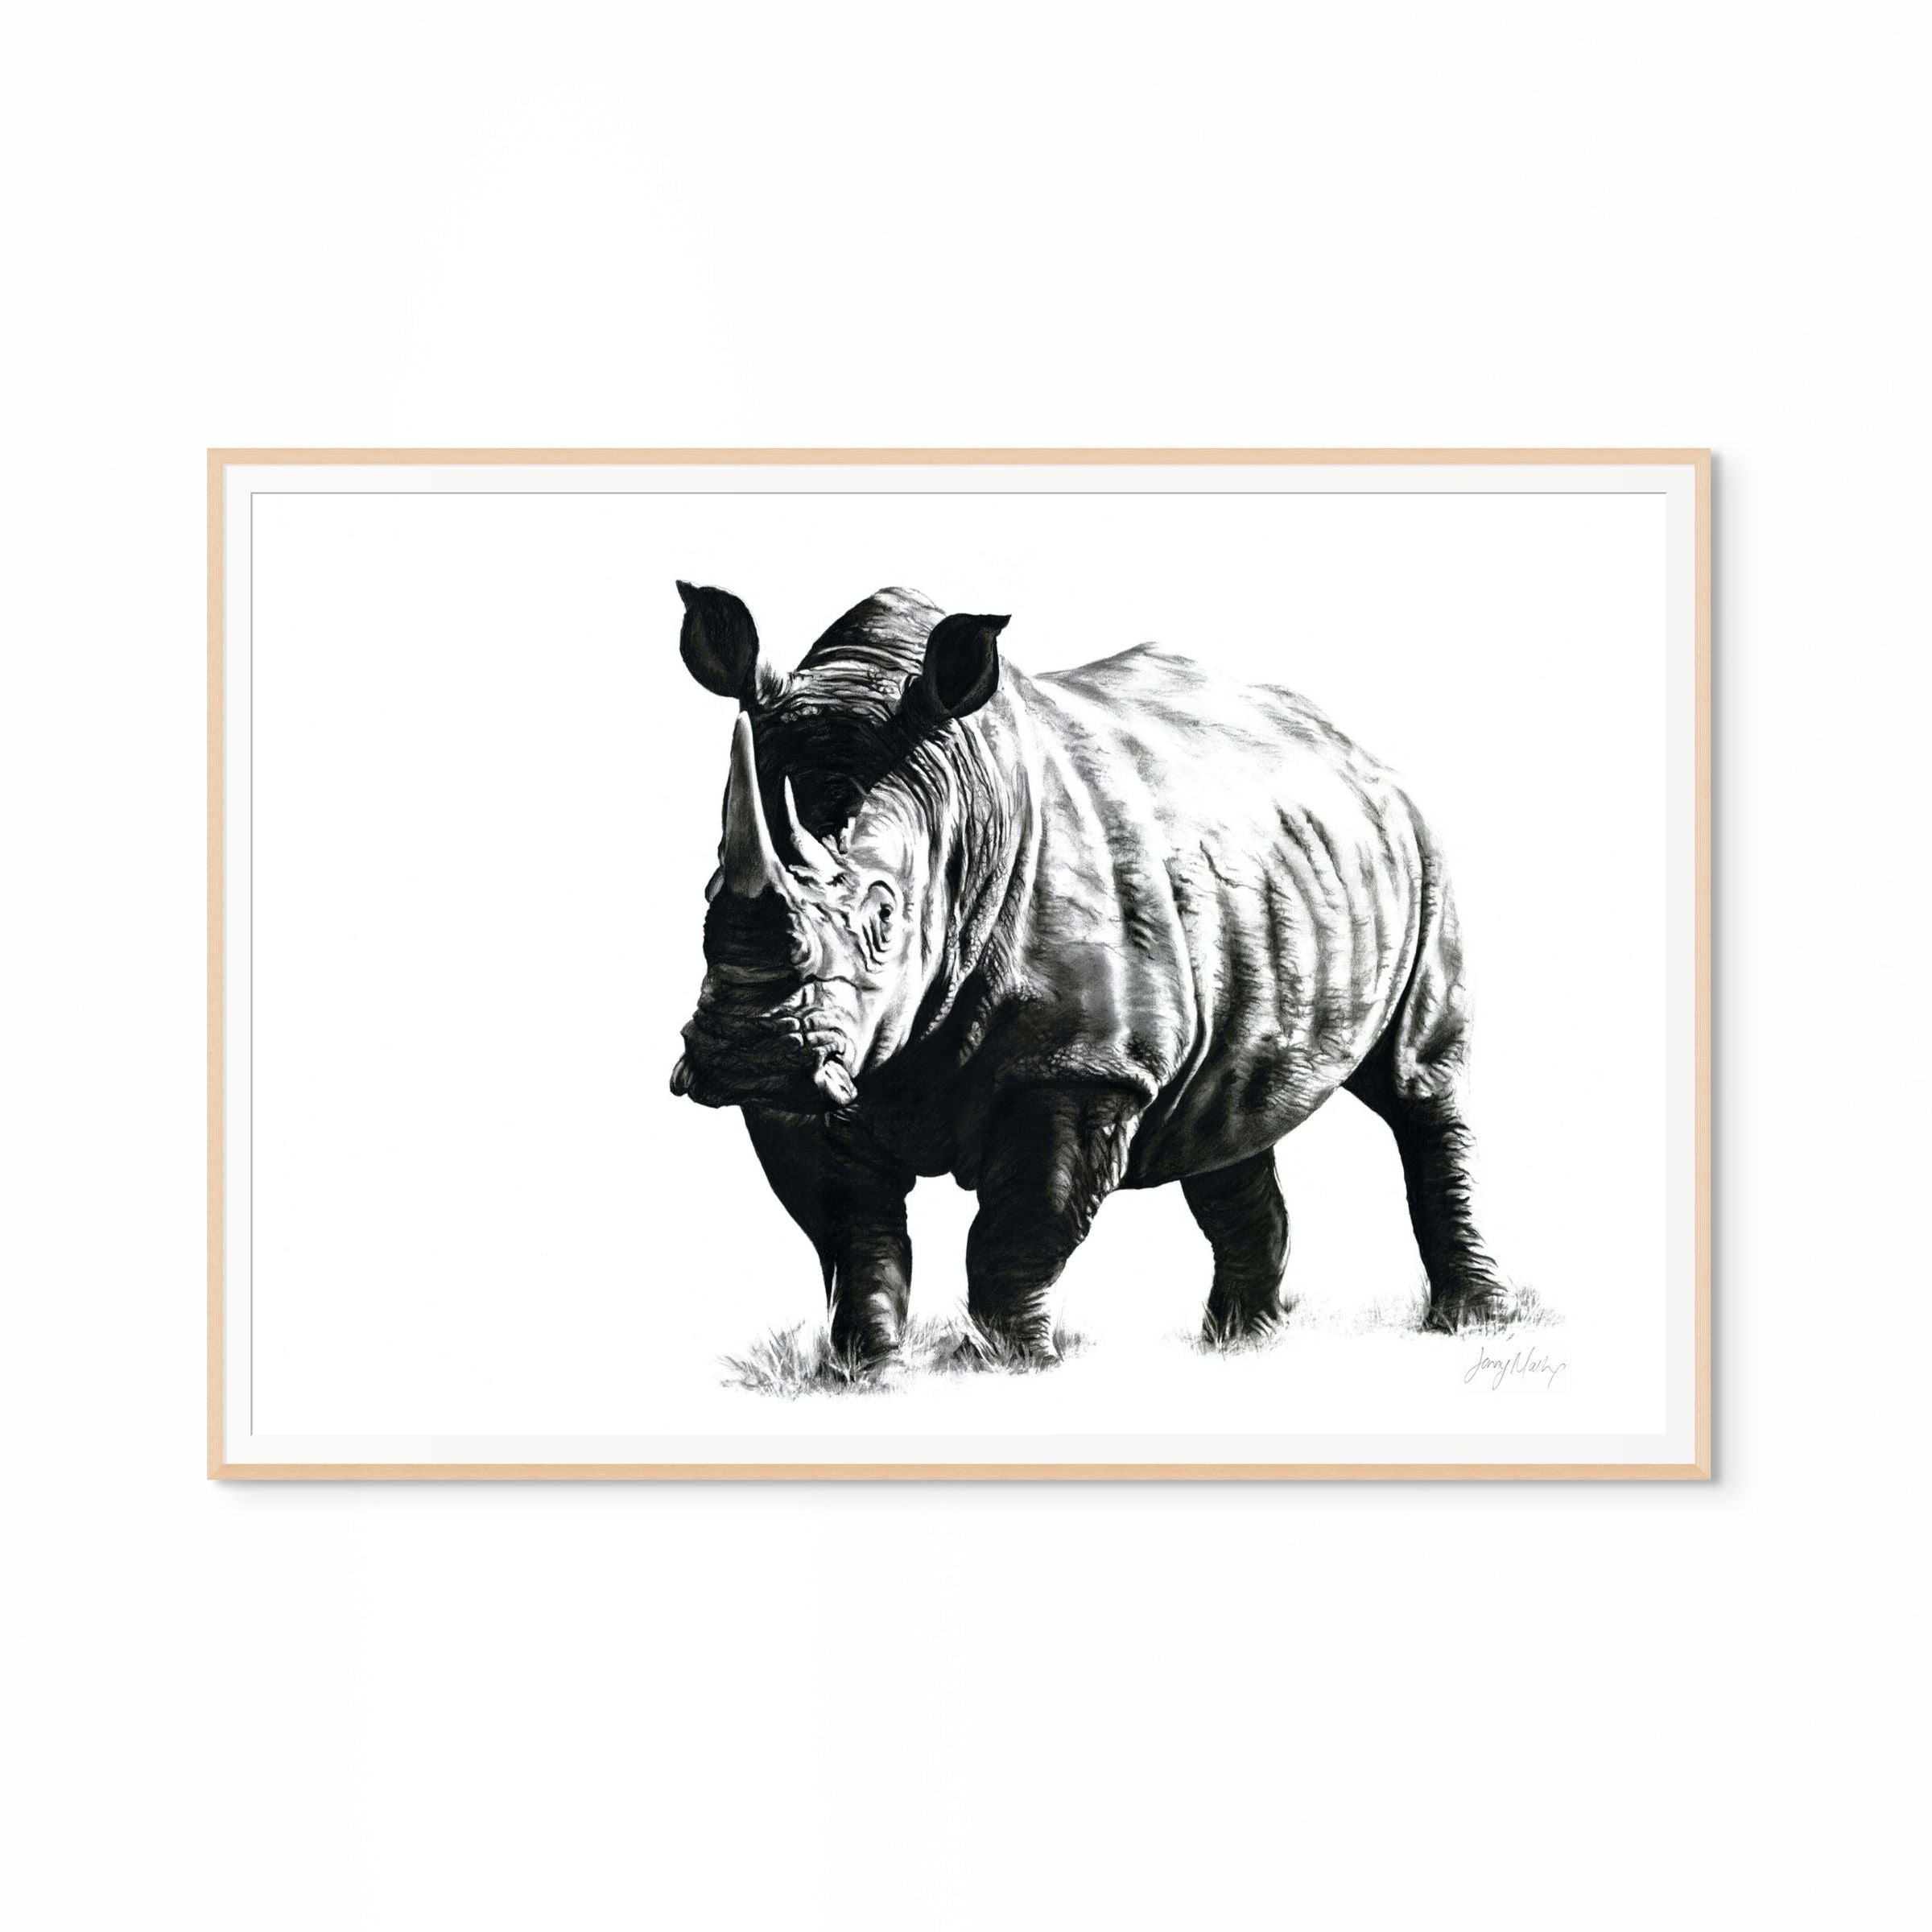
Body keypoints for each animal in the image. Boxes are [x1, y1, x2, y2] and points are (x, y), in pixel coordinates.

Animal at [669, 582, 1515, 1369]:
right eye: (706, 895)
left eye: (884, 915)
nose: (750, 1053)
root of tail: (1352, 743)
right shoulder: (819, 1078)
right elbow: (854, 1236)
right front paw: (866, 1372)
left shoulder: (1081, 1065)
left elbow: (1020, 1228)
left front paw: (1013, 1366)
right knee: (1229, 1116)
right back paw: (1241, 1345)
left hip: (1423, 851)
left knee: (1420, 1087)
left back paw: (1470, 1325)